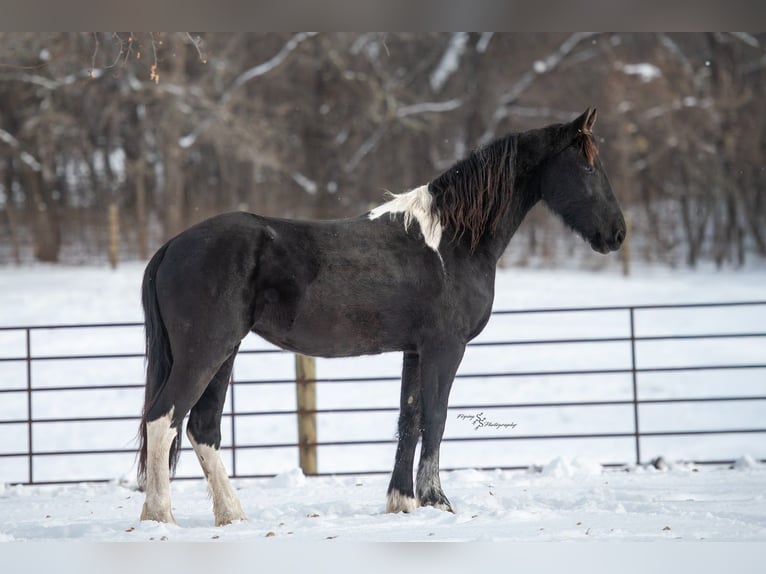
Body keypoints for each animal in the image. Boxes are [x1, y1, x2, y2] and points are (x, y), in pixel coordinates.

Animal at [137, 108, 625, 526]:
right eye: (587, 167)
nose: (617, 233)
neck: (452, 241)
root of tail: (172, 247)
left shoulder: (415, 351)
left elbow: (408, 420)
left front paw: (402, 502)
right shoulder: (445, 349)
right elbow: (436, 418)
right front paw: (437, 501)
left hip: (225, 353)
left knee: (202, 429)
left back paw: (231, 515)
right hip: (205, 351)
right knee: (164, 419)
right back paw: (160, 516)